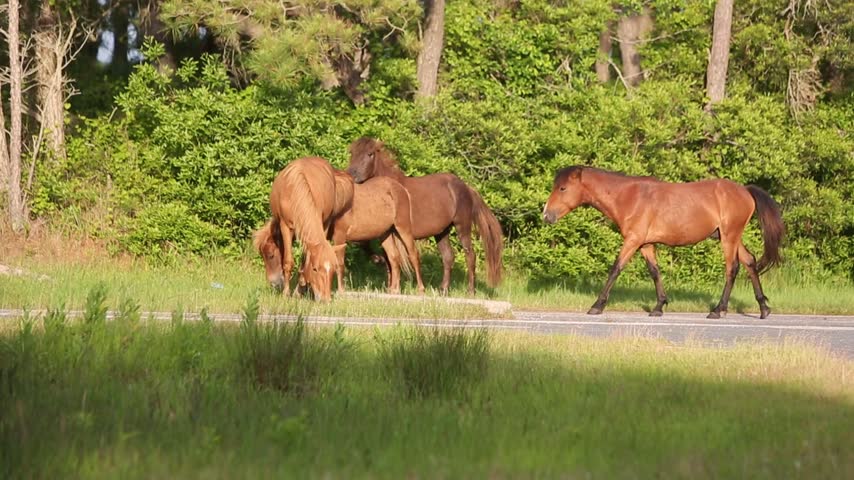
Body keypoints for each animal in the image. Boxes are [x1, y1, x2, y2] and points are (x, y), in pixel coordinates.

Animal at [254, 156, 353, 301]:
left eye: (332, 270)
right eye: (315, 269)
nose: (326, 299)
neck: (296, 194)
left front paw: (301, 288)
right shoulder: (286, 226)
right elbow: (288, 261)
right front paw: (286, 293)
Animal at [346, 137, 504, 295]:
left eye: (370, 154)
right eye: (352, 152)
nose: (352, 176)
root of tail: (466, 187)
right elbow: (379, 253)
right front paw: (388, 282)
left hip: (462, 227)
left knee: (470, 255)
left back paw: (470, 291)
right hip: (442, 232)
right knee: (448, 257)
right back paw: (443, 290)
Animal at [542, 166, 784, 319]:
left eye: (562, 188)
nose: (546, 214)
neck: (628, 197)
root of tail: (745, 191)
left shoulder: (632, 240)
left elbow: (615, 269)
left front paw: (597, 305)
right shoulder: (646, 244)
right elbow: (655, 272)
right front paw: (659, 306)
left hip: (729, 237)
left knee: (732, 268)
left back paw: (718, 310)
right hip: (732, 237)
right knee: (749, 262)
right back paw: (764, 308)